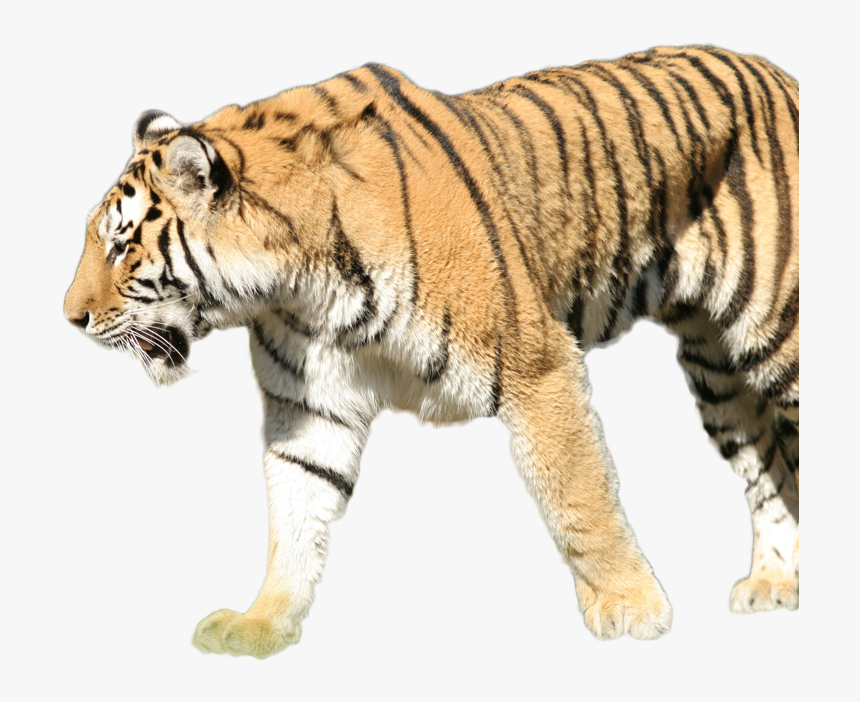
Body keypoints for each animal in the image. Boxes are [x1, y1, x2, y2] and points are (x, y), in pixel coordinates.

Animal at [64, 45, 799, 658]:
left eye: (122, 245)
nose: (70, 318)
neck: (299, 287)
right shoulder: (309, 409)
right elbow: (292, 517)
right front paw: (260, 623)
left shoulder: (539, 367)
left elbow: (579, 497)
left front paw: (632, 607)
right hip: (718, 370)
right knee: (768, 465)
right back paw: (774, 584)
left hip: (781, 334)